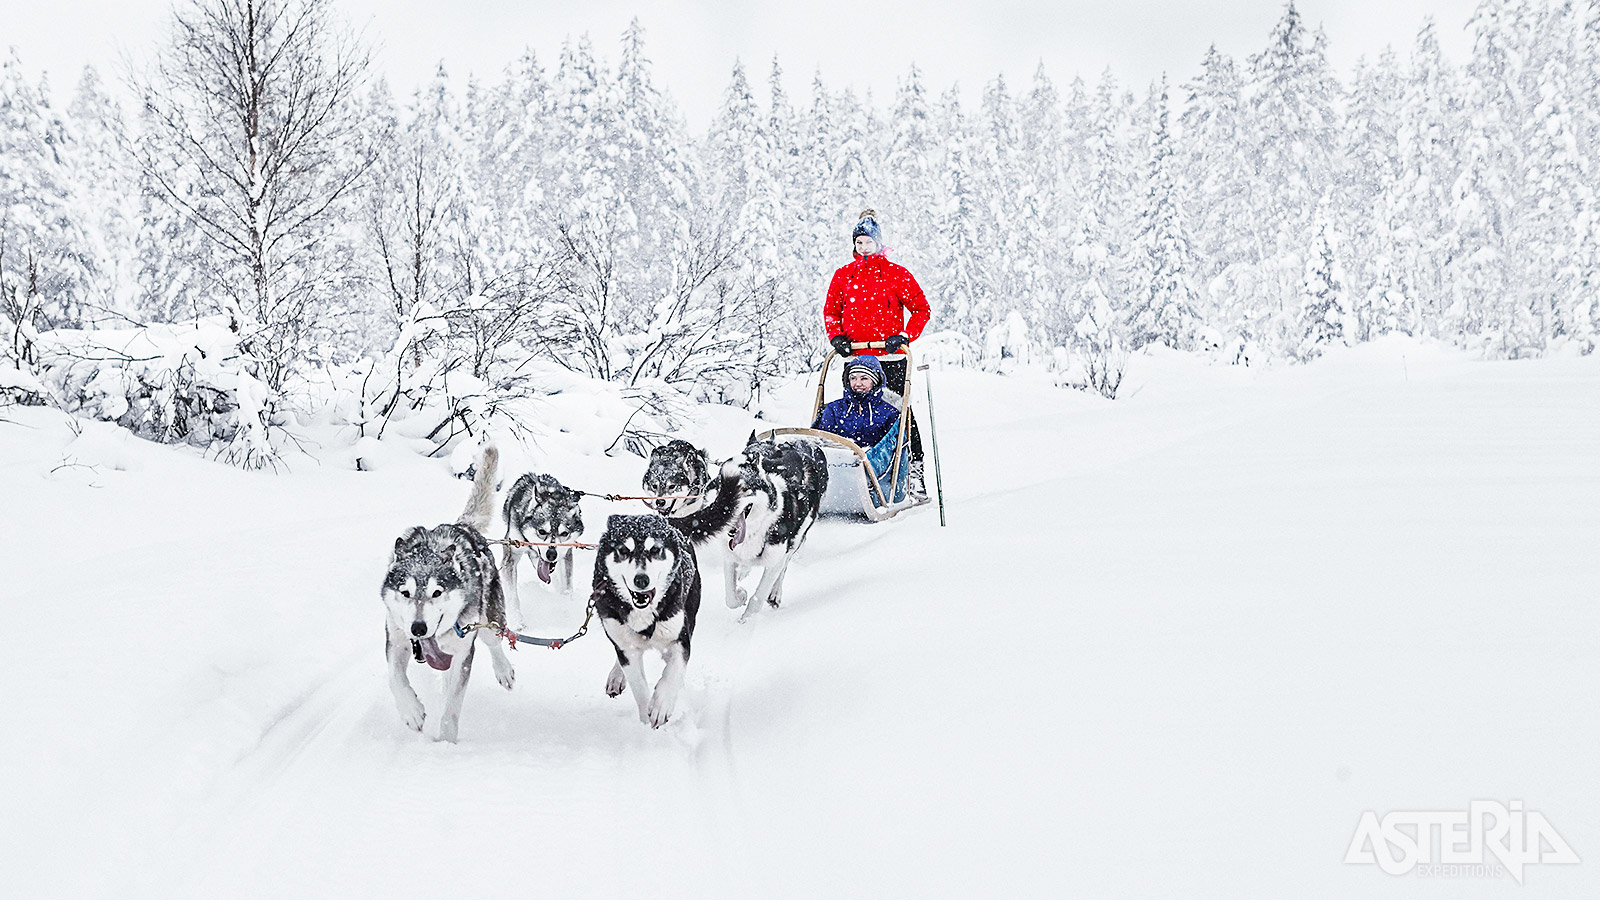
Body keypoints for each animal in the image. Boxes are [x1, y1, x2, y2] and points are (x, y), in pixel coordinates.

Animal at [379, 438, 512, 739]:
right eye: (405, 593)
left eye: (437, 592)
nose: (418, 628)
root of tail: (462, 526)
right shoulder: (396, 638)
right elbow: (394, 677)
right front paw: (411, 711)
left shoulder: (462, 653)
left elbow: (452, 706)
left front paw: (446, 743)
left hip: (488, 620)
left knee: (495, 642)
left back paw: (504, 670)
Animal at [502, 470, 585, 602]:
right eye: (541, 531)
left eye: (564, 533)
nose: (551, 554)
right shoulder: (511, 555)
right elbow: (512, 597)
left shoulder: (566, 553)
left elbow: (567, 585)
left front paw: (566, 600)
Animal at [592, 509, 697, 723]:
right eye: (624, 551)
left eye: (655, 550)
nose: (641, 579)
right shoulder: (626, 648)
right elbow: (638, 685)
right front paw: (646, 716)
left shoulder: (680, 639)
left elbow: (674, 671)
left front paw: (661, 705)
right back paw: (616, 676)